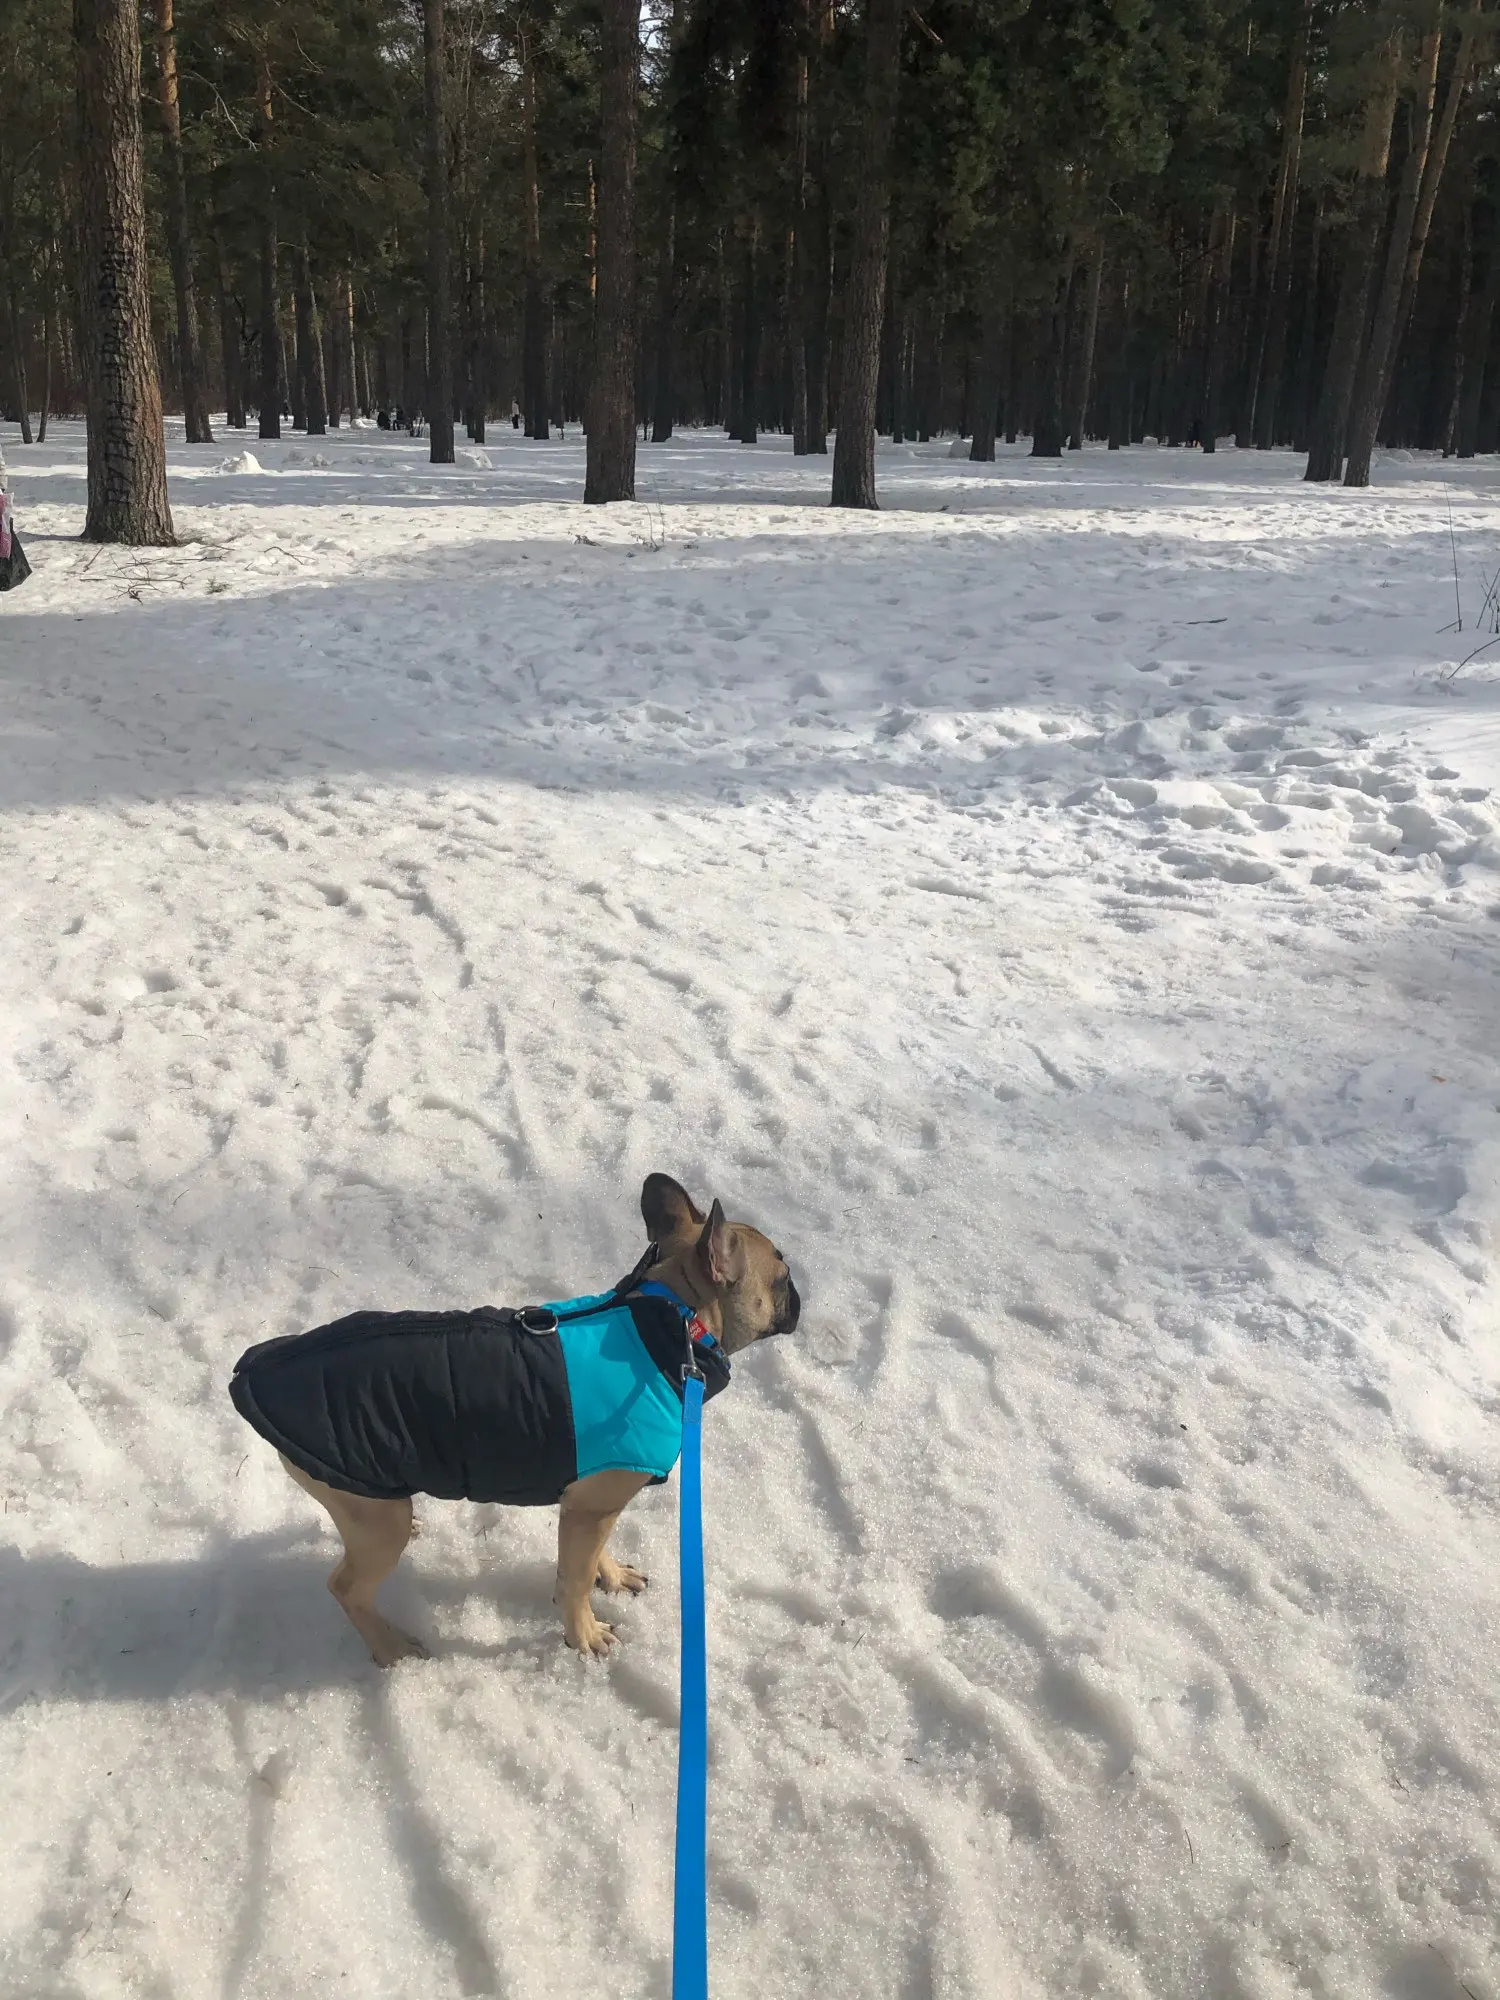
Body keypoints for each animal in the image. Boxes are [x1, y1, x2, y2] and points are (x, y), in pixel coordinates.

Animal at [229, 1174, 800, 1665]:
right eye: (782, 1275)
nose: (801, 1297)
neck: (672, 1320)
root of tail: (255, 1369)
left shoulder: (595, 1505)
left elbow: (594, 1555)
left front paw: (611, 1577)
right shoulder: (591, 1505)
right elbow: (574, 1579)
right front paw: (584, 1634)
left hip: (368, 1501)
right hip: (371, 1521)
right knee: (346, 1587)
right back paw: (389, 1648)